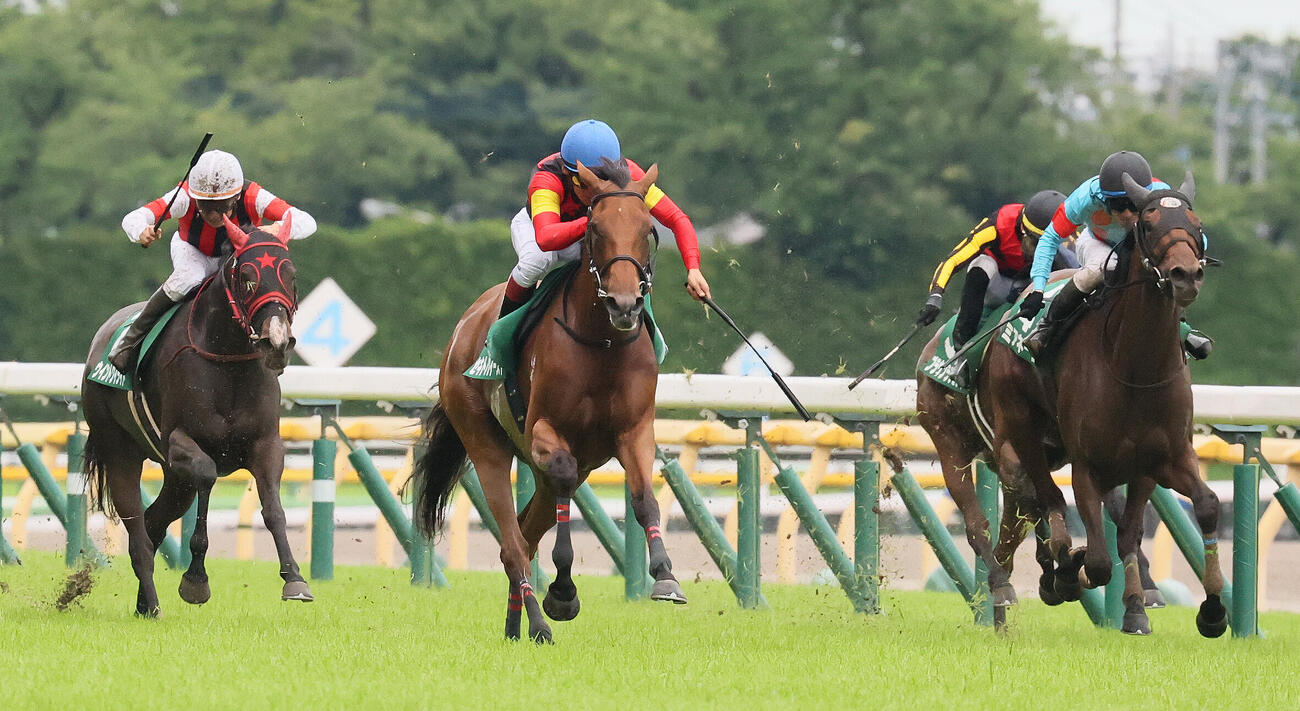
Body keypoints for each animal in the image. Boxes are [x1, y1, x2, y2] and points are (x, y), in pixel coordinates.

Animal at [81, 216, 309, 617]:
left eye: (291, 275)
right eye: (247, 276)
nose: (277, 342)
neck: (228, 364)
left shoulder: (266, 445)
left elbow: (273, 509)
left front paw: (294, 579)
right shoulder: (182, 442)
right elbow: (207, 475)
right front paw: (195, 580)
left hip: (174, 477)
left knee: (153, 522)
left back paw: (144, 604)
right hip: (120, 450)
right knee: (138, 532)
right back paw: (153, 604)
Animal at [411, 160, 686, 643]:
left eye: (648, 229)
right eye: (595, 229)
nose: (625, 304)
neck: (601, 343)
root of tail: (463, 330)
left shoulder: (634, 430)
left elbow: (644, 498)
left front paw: (665, 576)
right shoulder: (546, 432)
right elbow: (562, 478)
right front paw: (563, 592)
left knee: (523, 534)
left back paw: (514, 623)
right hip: (485, 441)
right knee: (513, 542)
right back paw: (538, 621)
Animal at [972, 171, 1222, 636]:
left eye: (1196, 225)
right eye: (1148, 224)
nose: (1186, 275)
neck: (1135, 368)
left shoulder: (1160, 461)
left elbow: (1199, 508)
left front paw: (1204, 610)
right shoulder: (1087, 466)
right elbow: (1100, 561)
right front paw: (1072, 572)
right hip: (1023, 429)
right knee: (1046, 498)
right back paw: (1051, 574)